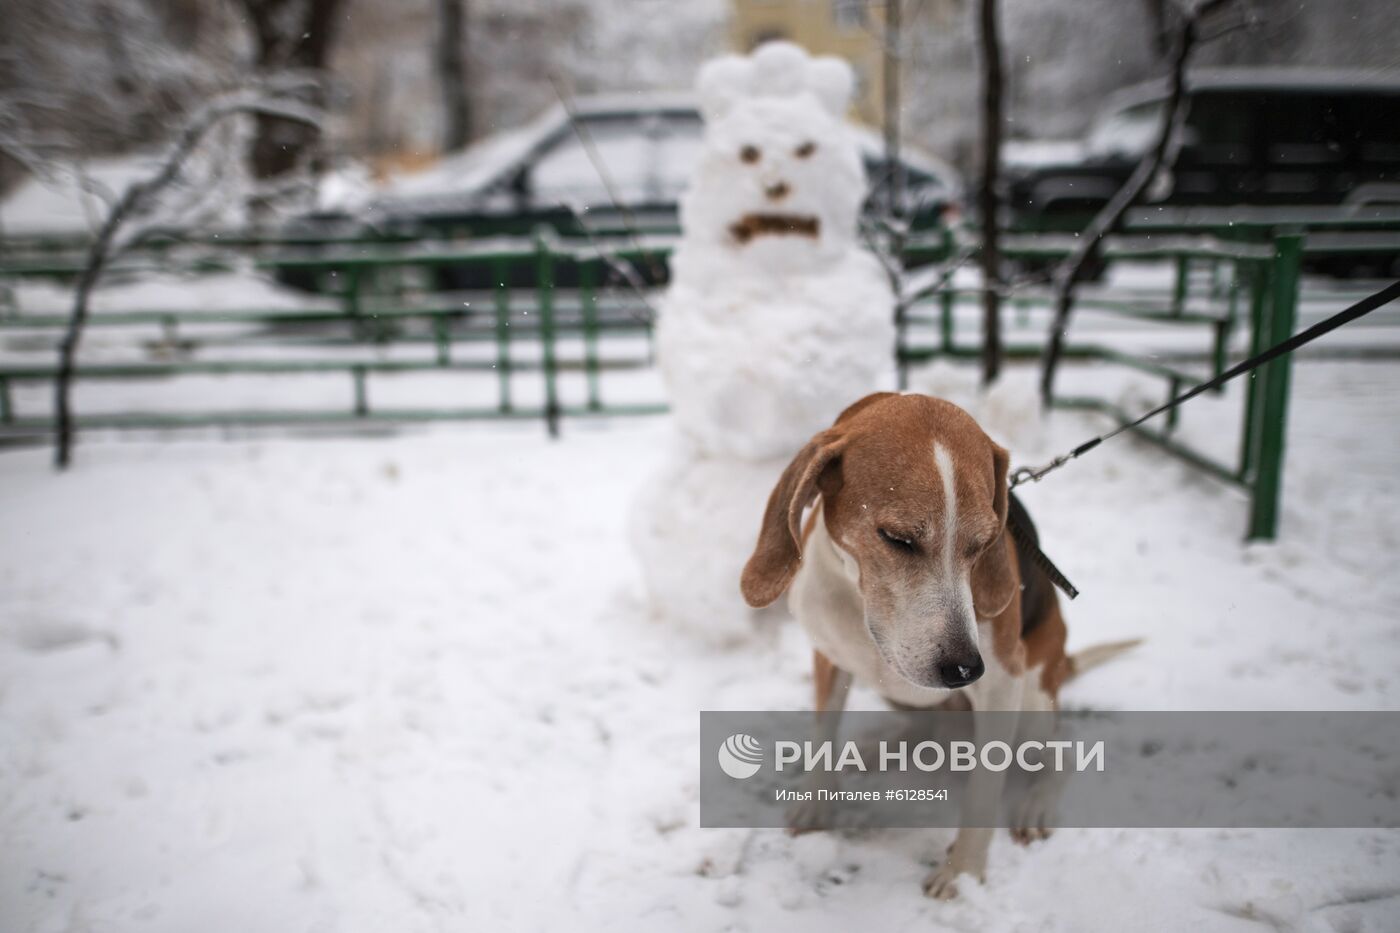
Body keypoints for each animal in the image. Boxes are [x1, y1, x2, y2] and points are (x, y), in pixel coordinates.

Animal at [739, 389, 1131, 896]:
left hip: (1032, 700)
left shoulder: (1002, 682)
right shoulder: (829, 656)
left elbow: (985, 789)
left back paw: (1037, 805)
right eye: (897, 538)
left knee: (1062, 752)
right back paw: (876, 749)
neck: (861, 600)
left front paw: (963, 872)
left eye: (984, 543)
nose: (964, 670)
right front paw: (816, 806)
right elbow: (824, 735)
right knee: (924, 728)